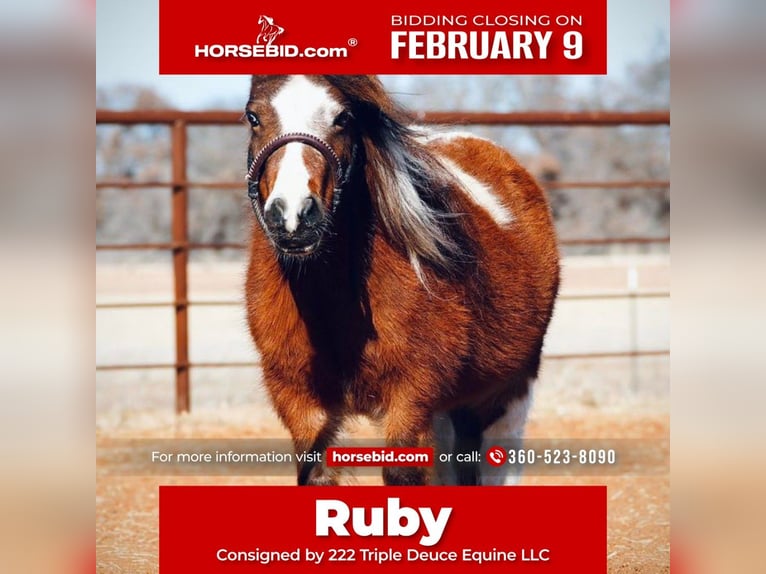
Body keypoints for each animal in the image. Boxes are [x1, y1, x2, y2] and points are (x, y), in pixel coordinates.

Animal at [242, 75, 559, 486]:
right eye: (253, 117)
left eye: (343, 118)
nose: (293, 216)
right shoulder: (299, 401)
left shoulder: (410, 398)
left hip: (506, 393)